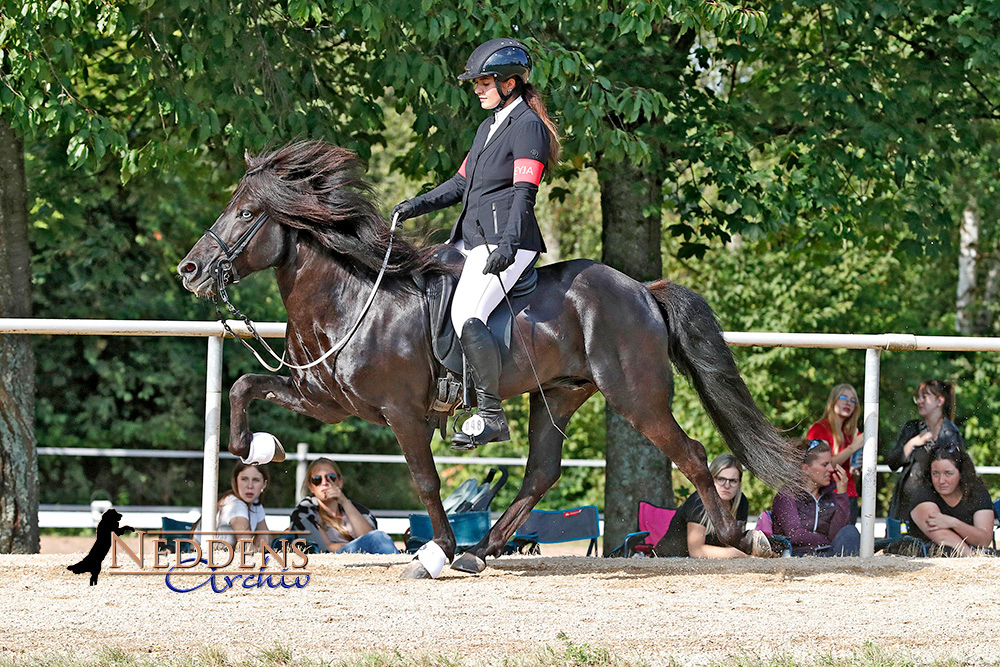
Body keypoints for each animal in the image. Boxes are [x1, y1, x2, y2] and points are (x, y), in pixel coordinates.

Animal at [180, 140, 800, 576]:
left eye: (245, 214)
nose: (190, 270)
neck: (352, 297)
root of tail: (642, 289)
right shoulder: (326, 399)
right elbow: (242, 385)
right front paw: (258, 448)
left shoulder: (401, 413)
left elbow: (426, 481)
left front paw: (436, 551)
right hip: (559, 394)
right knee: (542, 471)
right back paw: (484, 549)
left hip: (635, 394)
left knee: (691, 453)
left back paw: (735, 537)